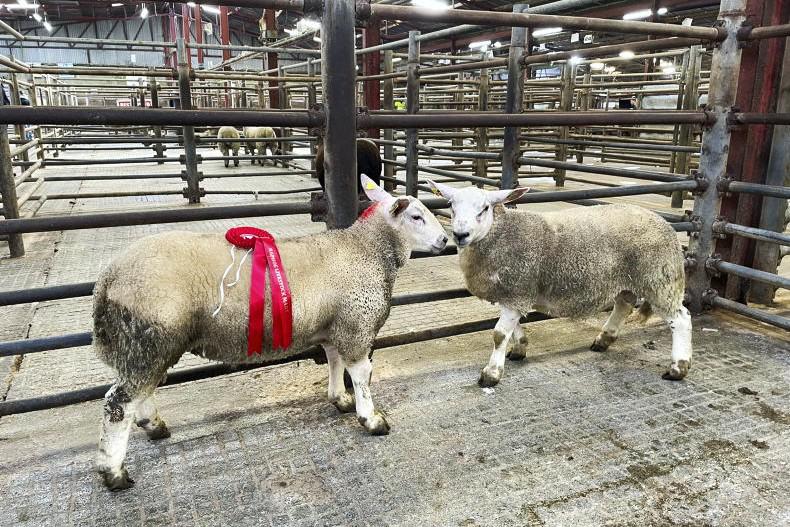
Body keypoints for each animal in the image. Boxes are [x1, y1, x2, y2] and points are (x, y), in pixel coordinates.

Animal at [92, 175, 448, 490]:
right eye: (416, 216)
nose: (446, 240)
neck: (366, 250)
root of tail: (108, 277)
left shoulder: (335, 324)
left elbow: (334, 362)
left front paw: (340, 399)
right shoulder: (355, 325)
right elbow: (361, 374)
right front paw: (371, 419)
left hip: (146, 342)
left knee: (141, 390)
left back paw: (154, 426)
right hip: (150, 334)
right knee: (118, 404)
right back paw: (114, 473)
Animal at [428, 181, 692, 388]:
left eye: (484, 208)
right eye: (450, 206)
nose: (460, 235)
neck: (500, 233)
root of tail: (664, 223)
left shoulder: (518, 290)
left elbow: (499, 334)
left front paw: (491, 374)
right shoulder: (513, 293)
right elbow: (512, 329)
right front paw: (520, 348)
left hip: (659, 277)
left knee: (681, 319)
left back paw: (678, 368)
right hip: (626, 278)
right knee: (624, 305)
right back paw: (603, 340)